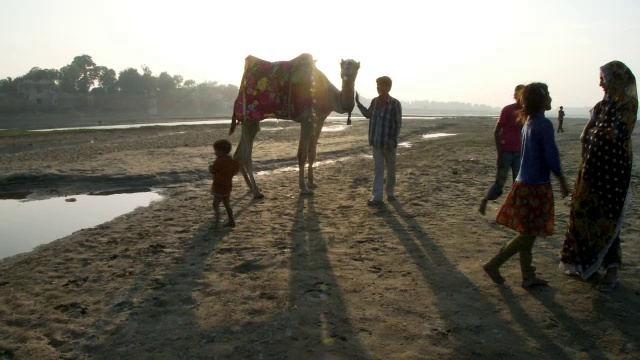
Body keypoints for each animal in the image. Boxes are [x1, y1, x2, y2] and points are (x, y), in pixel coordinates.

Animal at [229, 53, 360, 198]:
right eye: (343, 65)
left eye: (355, 66)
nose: (347, 72)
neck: (328, 95)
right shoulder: (307, 119)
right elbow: (302, 154)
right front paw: (303, 188)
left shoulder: (319, 119)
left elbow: (312, 152)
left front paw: (311, 183)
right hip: (250, 115)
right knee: (247, 155)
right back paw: (257, 191)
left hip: (248, 120)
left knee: (240, 153)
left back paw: (251, 188)